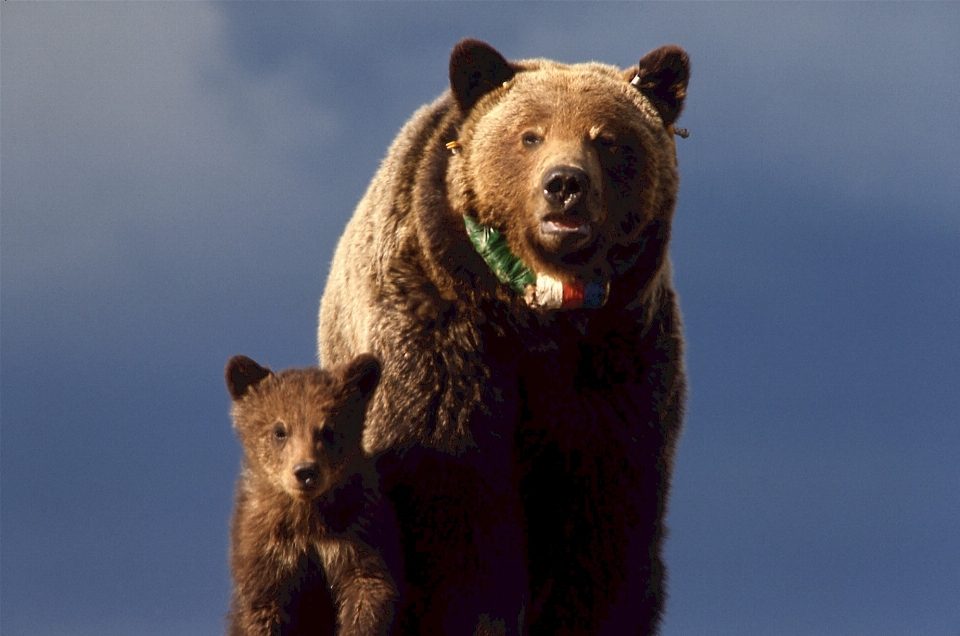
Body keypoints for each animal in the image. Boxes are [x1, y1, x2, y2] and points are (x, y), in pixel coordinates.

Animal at [318, 39, 688, 636]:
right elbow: (459, 510)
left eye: (607, 138)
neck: (536, 316)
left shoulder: (617, 367)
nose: (565, 185)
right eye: (530, 134)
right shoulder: (441, 340)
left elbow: (605, 524)